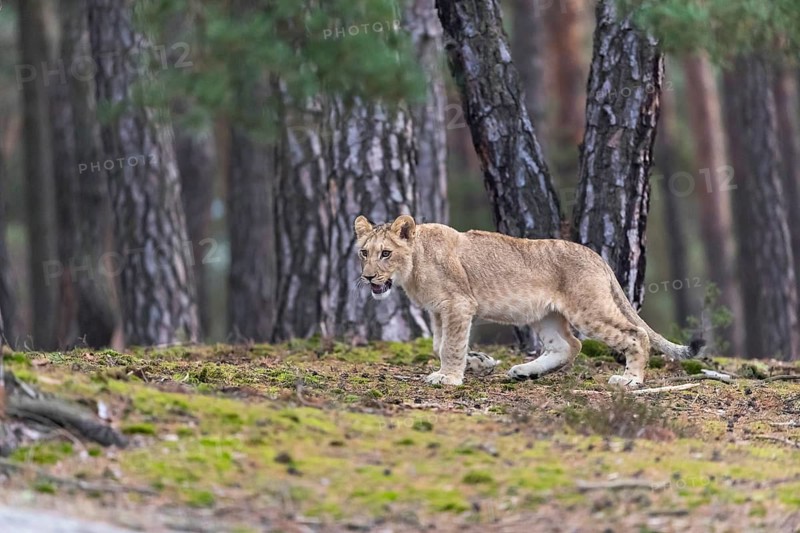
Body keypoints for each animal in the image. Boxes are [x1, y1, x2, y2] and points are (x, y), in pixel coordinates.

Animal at [354, 214, 704, 388]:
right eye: (364, 252)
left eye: (386, 253)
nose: (368, 277)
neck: (414, 266)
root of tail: (596, 256)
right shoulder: (438, 310)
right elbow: (439, 345)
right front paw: (481, 363)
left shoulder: (458, 304)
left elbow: (450, 346)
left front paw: (449, 378)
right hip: (544, 315)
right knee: (569, 346)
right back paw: (525, 372)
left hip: (588, 309)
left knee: (636, 334)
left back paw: (630, 379)